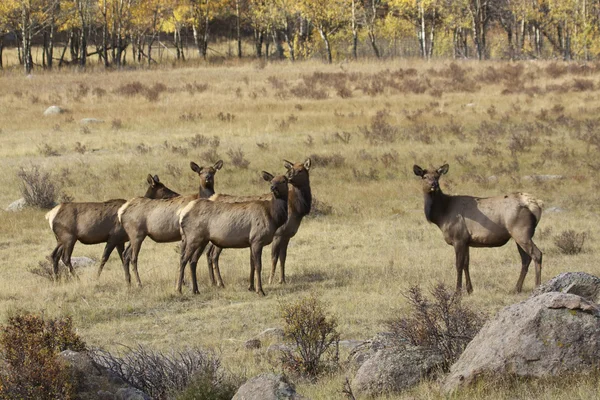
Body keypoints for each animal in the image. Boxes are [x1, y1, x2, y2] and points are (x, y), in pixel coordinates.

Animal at [44, 175, 178, 282]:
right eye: (163, 188)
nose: (177, 194)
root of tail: (50, 215)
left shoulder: (120, 241)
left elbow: (122, 258)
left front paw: (128, 279)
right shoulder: (114, 236)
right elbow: (104, 258)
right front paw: (96, 277)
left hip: (60, 239)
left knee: (53, 255)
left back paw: (57, 279)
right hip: (69, 237)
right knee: (65, 258)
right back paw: (77, 278)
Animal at [204, 159, 312, 288]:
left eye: (300, 170)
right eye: (290, 169)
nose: (290, 177)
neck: (297, 209)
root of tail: (212, 197)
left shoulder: (287, 236)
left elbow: (283, 257)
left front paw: (283, 280)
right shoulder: (278, 234)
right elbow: (274, 257)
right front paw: (271, 280)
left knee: (208, 254)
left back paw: (213, 281)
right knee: (214, 256)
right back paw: (220, 282)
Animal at [412, 163, 544, 294]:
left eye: (437, 176)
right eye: (424, 177)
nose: (433, 185)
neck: (441, 215)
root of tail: (536, 204)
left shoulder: (458, 238)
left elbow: (458, 265)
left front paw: (457, 292)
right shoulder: (466, 240)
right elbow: (466, 263)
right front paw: (470, 289)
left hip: (521, 231)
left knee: (537, 254)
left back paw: (537, 286)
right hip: (518, 235)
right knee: (526, 258)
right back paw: (517, 288)